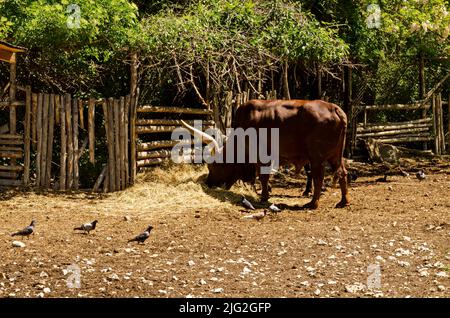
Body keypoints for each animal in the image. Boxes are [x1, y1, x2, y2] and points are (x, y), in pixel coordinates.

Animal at [182, 99, 348, 209]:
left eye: (213, 166)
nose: (208, 183)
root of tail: (333, 108)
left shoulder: (261, 155)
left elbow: (262, 176)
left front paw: (263, 196)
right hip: (335, 156)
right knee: (342, 173)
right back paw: (343, 201)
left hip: (316, 158)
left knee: (318, 177)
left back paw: (313, 203)